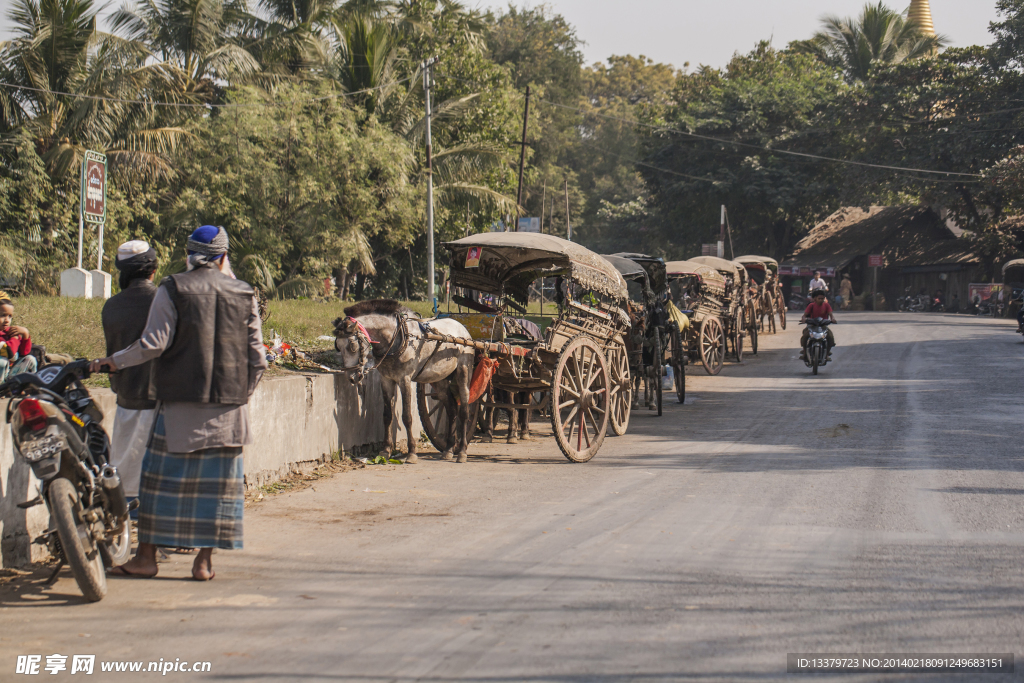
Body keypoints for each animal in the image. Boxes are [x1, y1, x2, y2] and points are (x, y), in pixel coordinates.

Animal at [335, 301, 479, 464]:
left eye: (352, 346)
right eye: (338, 347)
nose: (352, 377)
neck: (396, 339)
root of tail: (462, 328)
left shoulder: (405, 379)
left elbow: (407, 417)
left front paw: (411, 453)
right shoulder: (386, 379)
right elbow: (387, 415)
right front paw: (385, 451)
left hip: (464, 370)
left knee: (464, 411)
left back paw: (462, 452)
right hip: (439, 379)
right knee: (451, 408)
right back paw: (448, 449)